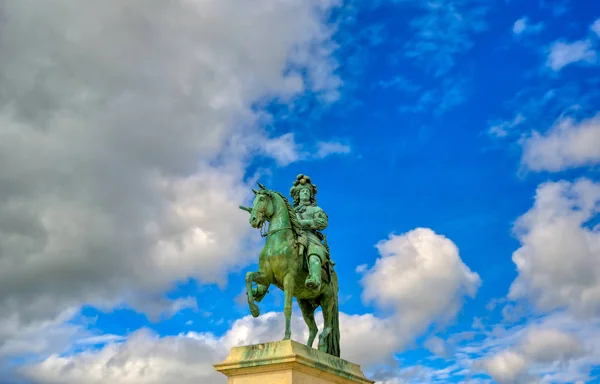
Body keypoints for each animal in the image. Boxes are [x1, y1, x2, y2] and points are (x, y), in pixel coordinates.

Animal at [240, 183, 342, 356]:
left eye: (262, 198)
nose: (253, 220)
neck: (278, 242)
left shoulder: (289, 278)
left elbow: (287, 308)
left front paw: (286, 337)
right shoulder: (266, 277)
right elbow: (248, 276)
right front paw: (254, 309)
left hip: (327, 299)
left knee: (327, 326)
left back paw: (321, 346)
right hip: (305, 304)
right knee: (313, 329)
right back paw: (308, 349)